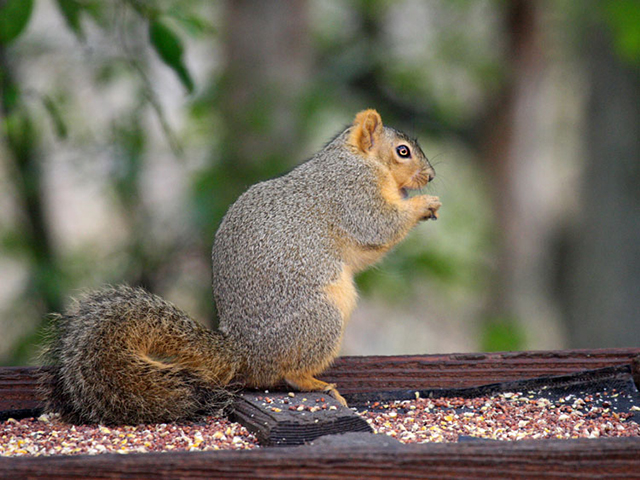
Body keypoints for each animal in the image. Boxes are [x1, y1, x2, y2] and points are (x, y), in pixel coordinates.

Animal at [38, 109, 440, 424]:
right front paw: (423, 204)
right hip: (322, 317)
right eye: (403, 151)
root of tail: (244, 353)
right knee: (288, 375)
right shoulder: (353, 193)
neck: (358, 159)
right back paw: (318, 383)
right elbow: (378, 226)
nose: (432, 175)